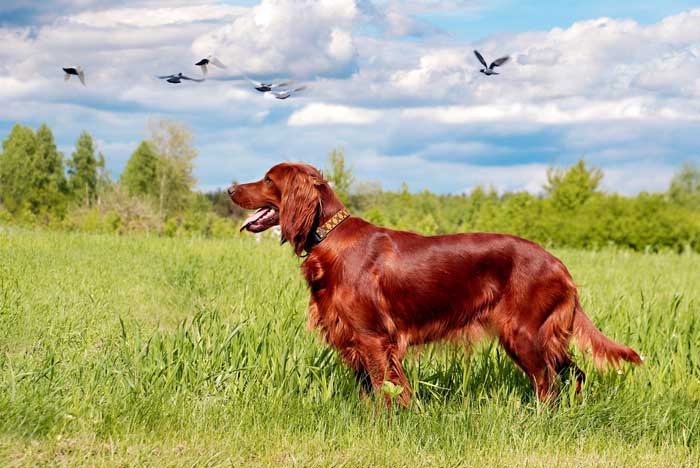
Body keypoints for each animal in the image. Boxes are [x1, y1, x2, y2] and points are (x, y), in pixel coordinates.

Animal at [228, 163, 640, 404]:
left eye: (268, 179)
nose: (230, 189)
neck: (329, 237)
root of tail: (559, 265)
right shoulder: (353, 337)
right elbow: (369, 391)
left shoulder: (373, 337)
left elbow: (386, 390)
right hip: (545, 335)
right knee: (574, 373)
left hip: (522, 332)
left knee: (548, 384)